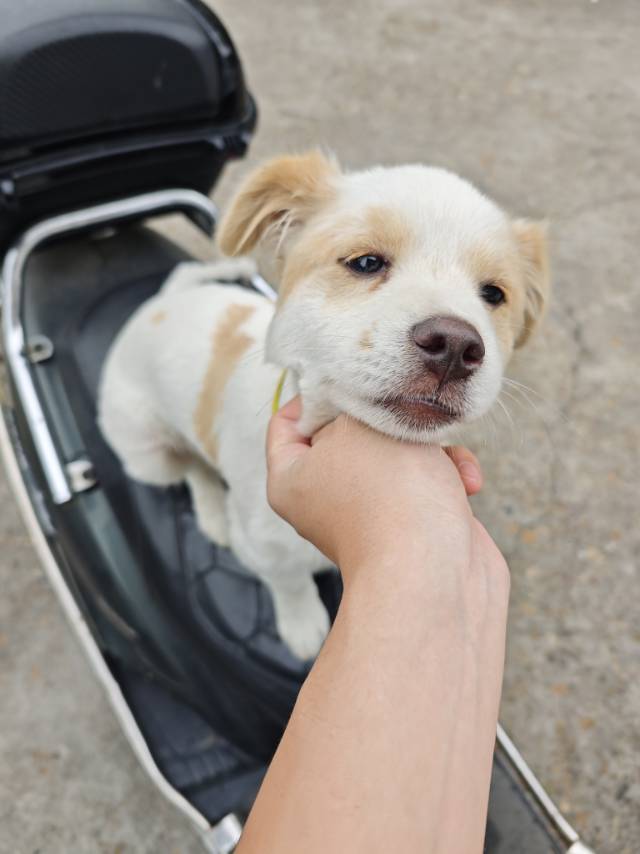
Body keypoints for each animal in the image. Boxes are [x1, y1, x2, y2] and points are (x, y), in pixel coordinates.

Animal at [100, 152, 552, 664]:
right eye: (366, 262)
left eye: (494, 294)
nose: (456, 347)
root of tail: (160, 302)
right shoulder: (261, 548)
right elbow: (289, 580)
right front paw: (301, 625)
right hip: (150, 454)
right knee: (192, 468)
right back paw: (213, 513)